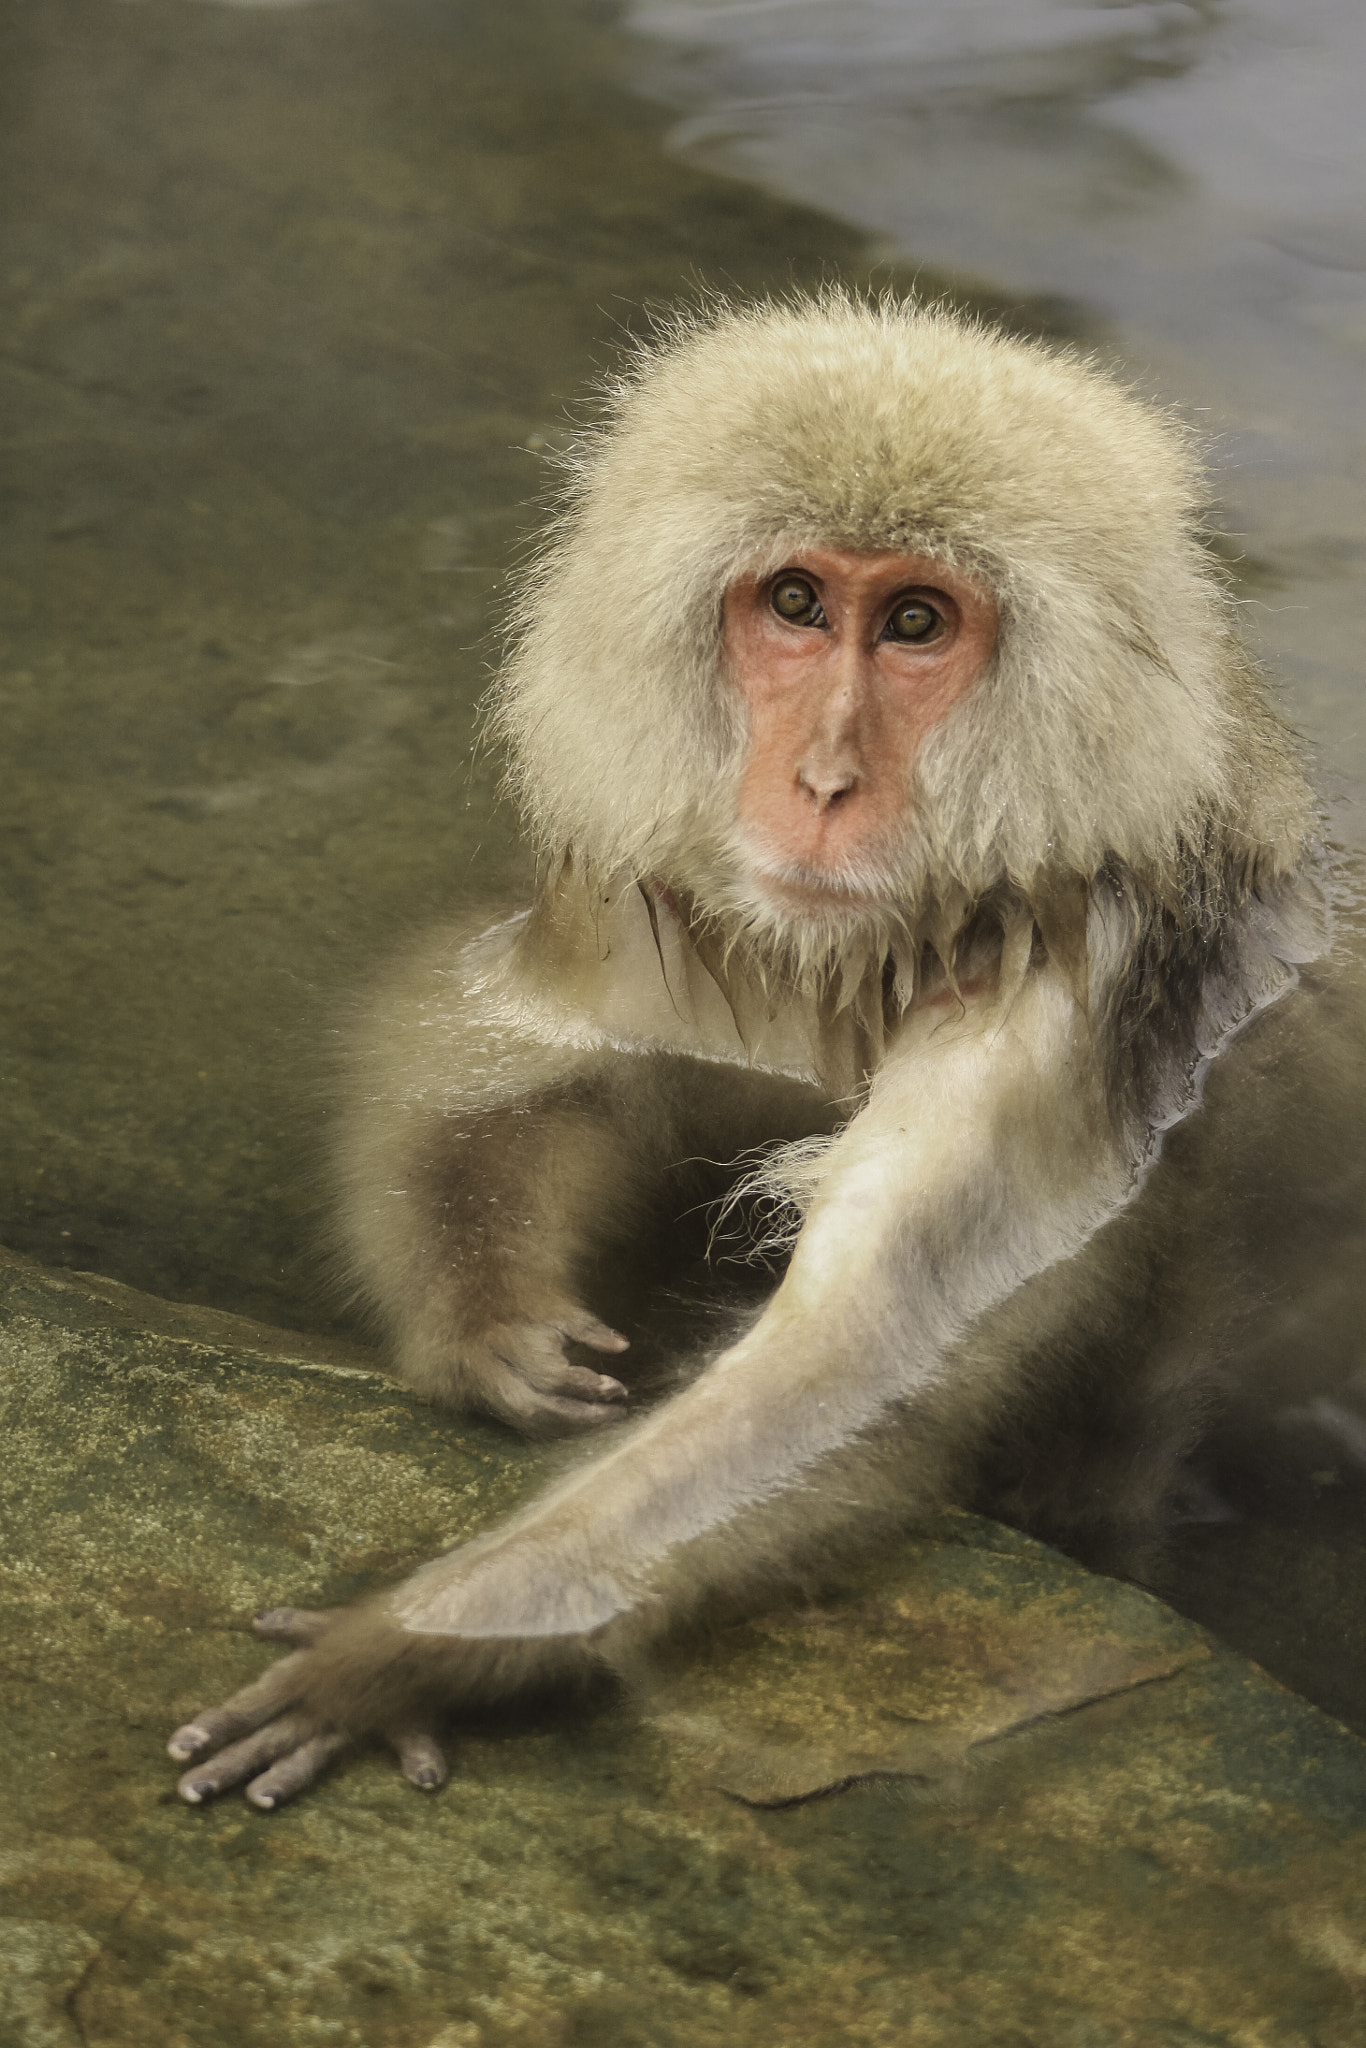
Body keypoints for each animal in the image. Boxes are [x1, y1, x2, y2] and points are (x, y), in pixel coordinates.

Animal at [167, 292, 1321, 1810]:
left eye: (914, 623)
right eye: (795, 605)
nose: (821, 781)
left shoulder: (1070, 999)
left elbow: (855, 1360)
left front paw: (427, 1643)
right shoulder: (646, 898)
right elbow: (487, 1046)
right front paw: (490, 1323)